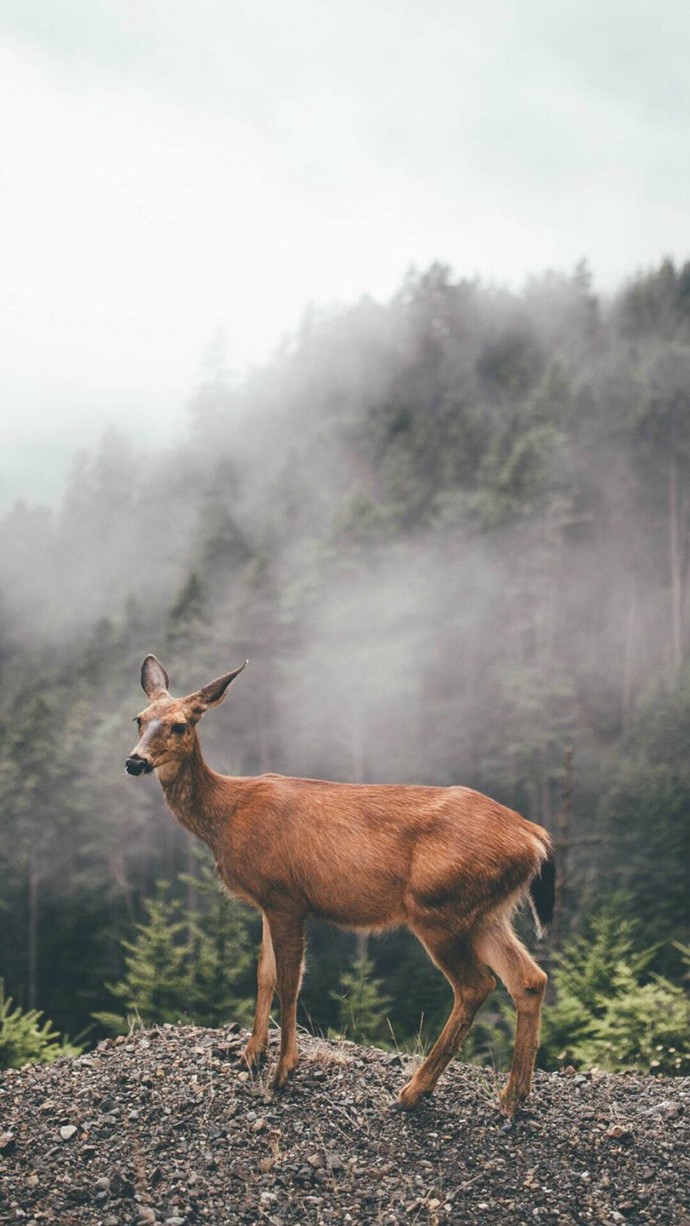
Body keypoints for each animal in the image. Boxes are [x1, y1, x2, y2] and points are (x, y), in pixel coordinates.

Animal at [125, 657, 556, 1118]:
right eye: (139, 719)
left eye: (180, 725)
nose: (135, 762)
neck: (227, 817)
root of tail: (535, 837)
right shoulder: (268, 902)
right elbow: (264, 974)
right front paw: (250, 1055)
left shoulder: (286, 897)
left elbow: (289, 982)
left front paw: (284, 1070)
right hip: (485, 913)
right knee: (529, 979)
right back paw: (513, 1096)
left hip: (439, 906)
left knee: (476, 986)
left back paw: (414, 1091)